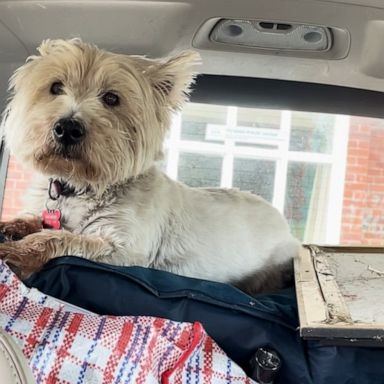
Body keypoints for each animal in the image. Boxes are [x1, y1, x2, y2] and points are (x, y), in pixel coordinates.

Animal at [0, 39, 300, 294]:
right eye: (55, 87)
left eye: (111, 98)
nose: (67, 128)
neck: (80, 186)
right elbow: (33, 221)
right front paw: (10, 226)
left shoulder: (124, 250)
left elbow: (62, 239)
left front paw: (16, 253)